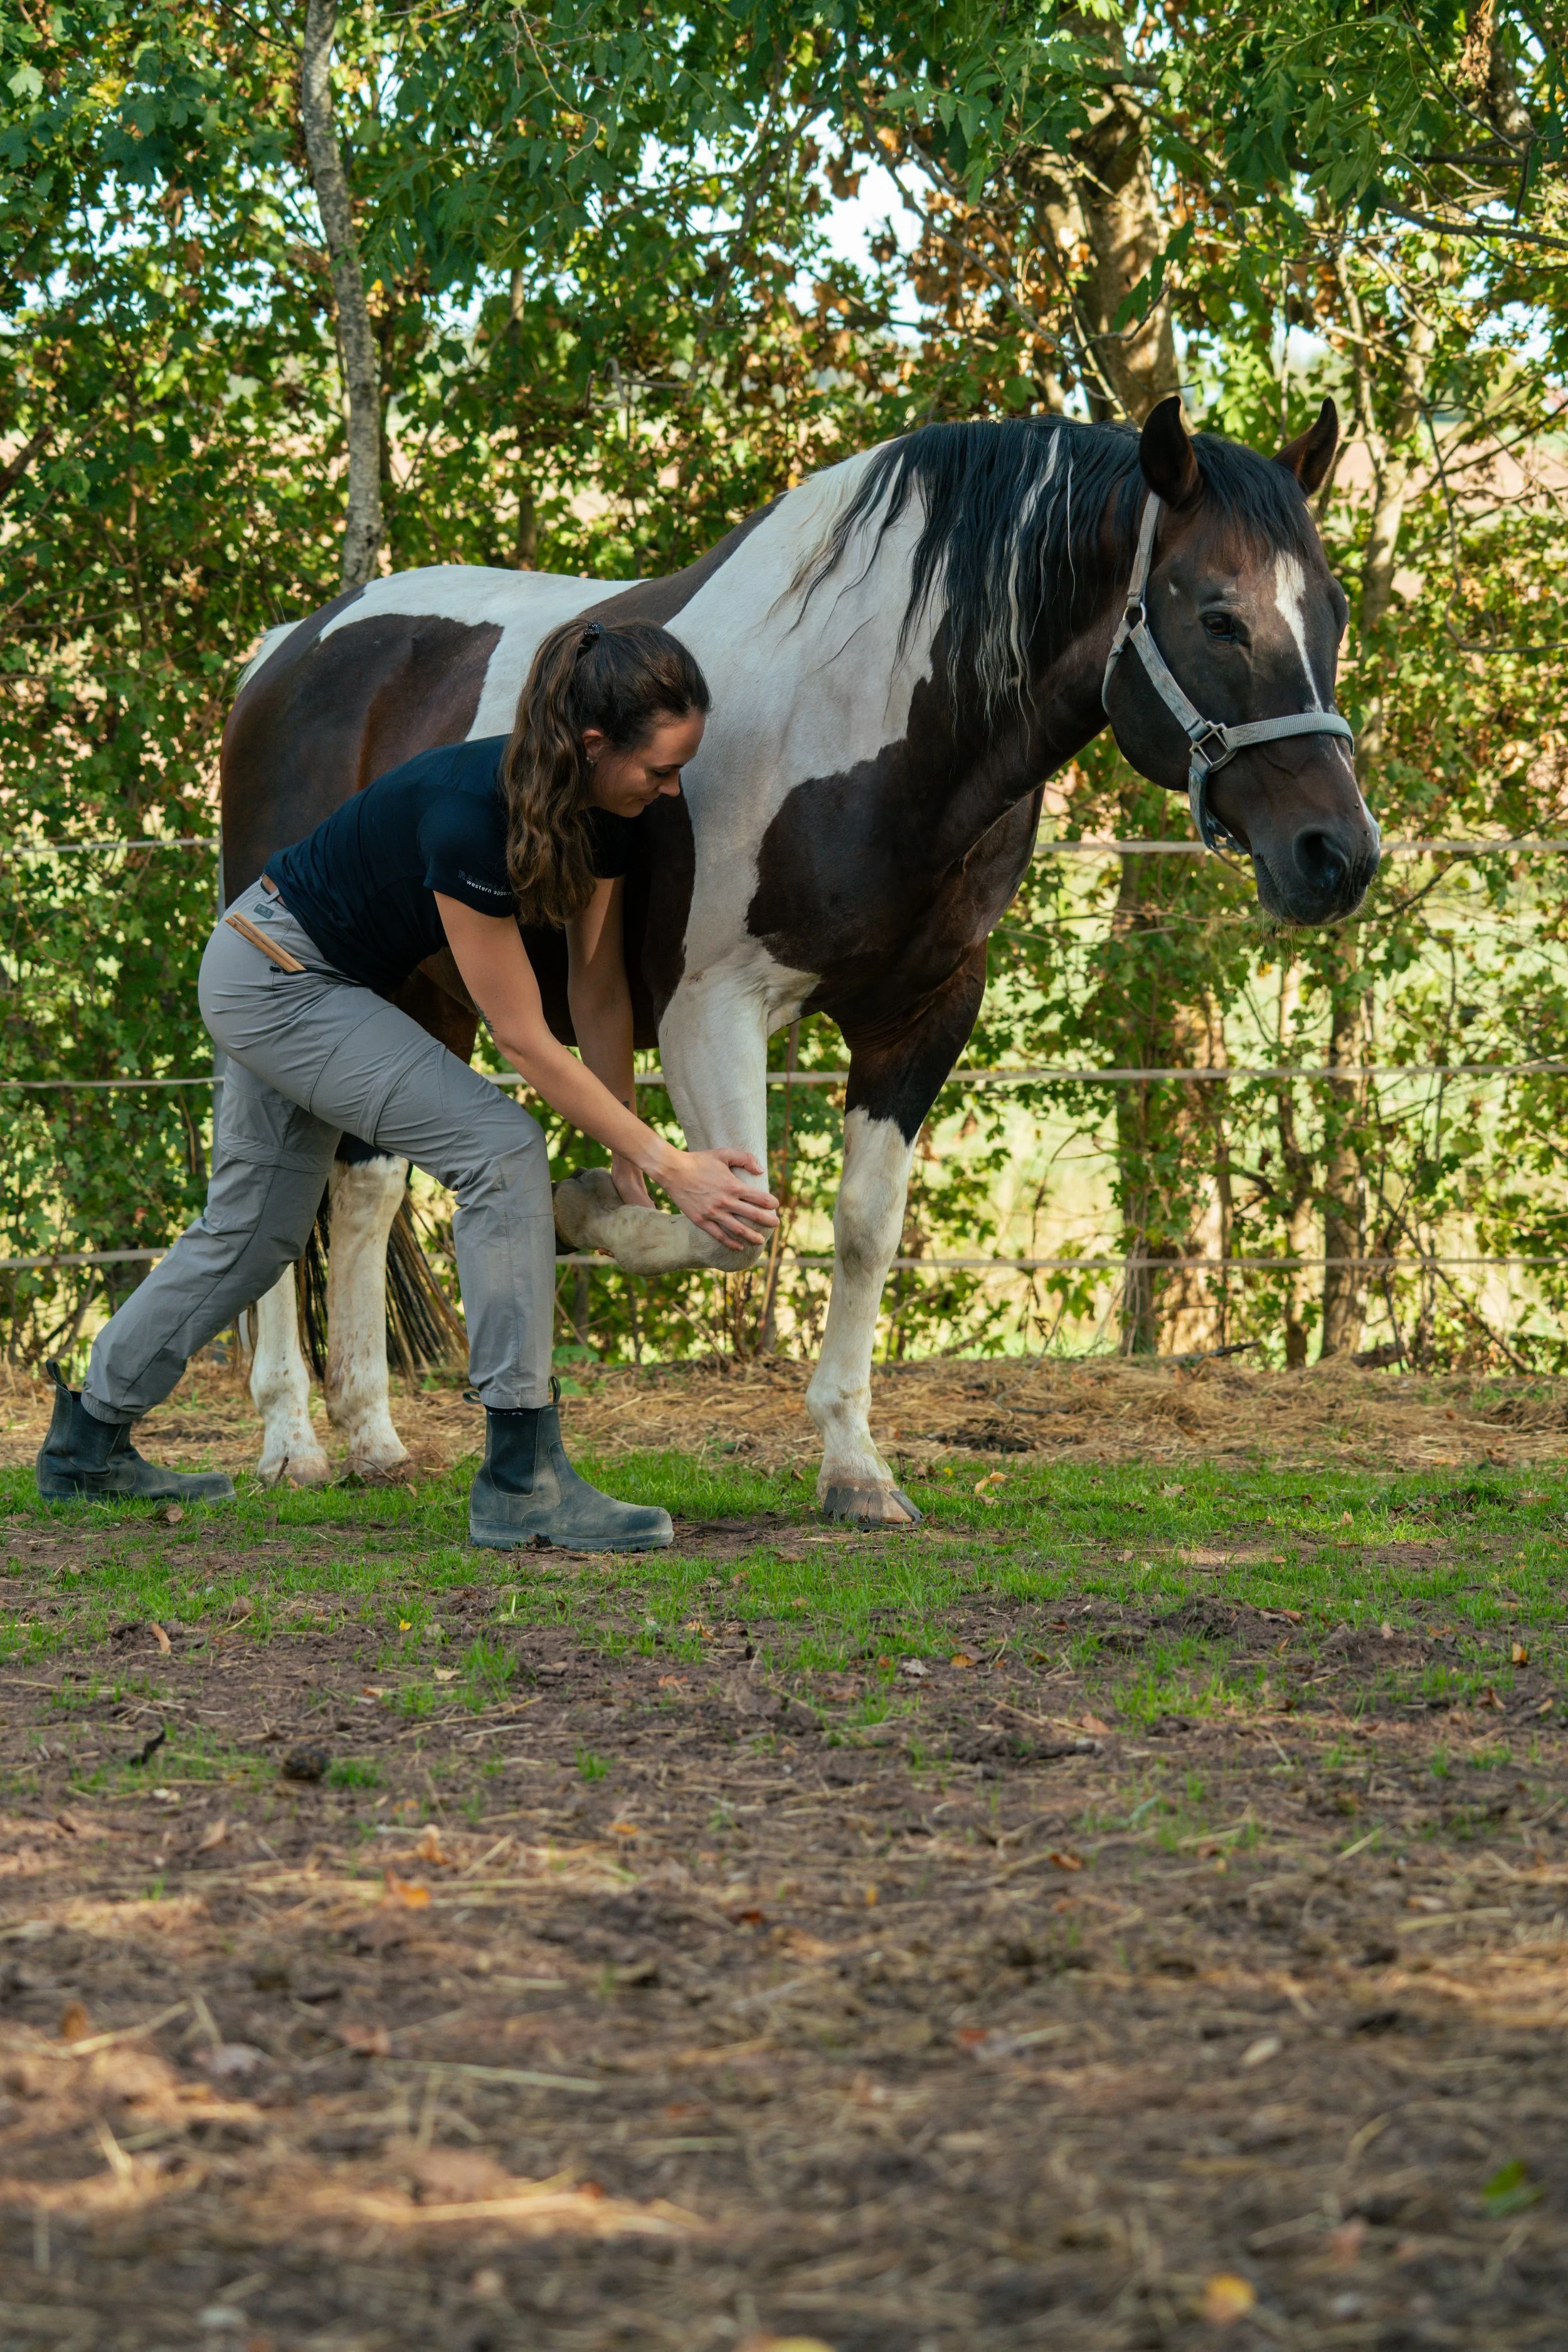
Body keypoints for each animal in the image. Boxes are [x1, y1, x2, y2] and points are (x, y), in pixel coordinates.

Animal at [219, 393, 1378, 1521]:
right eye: (1219, 616)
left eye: (1335, 610)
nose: (1338, 856)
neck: (877, 724)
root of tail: (290, 648)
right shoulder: (707, 1012)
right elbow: (739, 1222)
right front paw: (582, 1210)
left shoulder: (924, 1013)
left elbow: (863, 1228)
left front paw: (855, 1466)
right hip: (295, 989)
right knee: (273, 1188)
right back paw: (290, 1442)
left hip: (425, 993)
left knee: (364, 1190)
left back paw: (373, 1439)